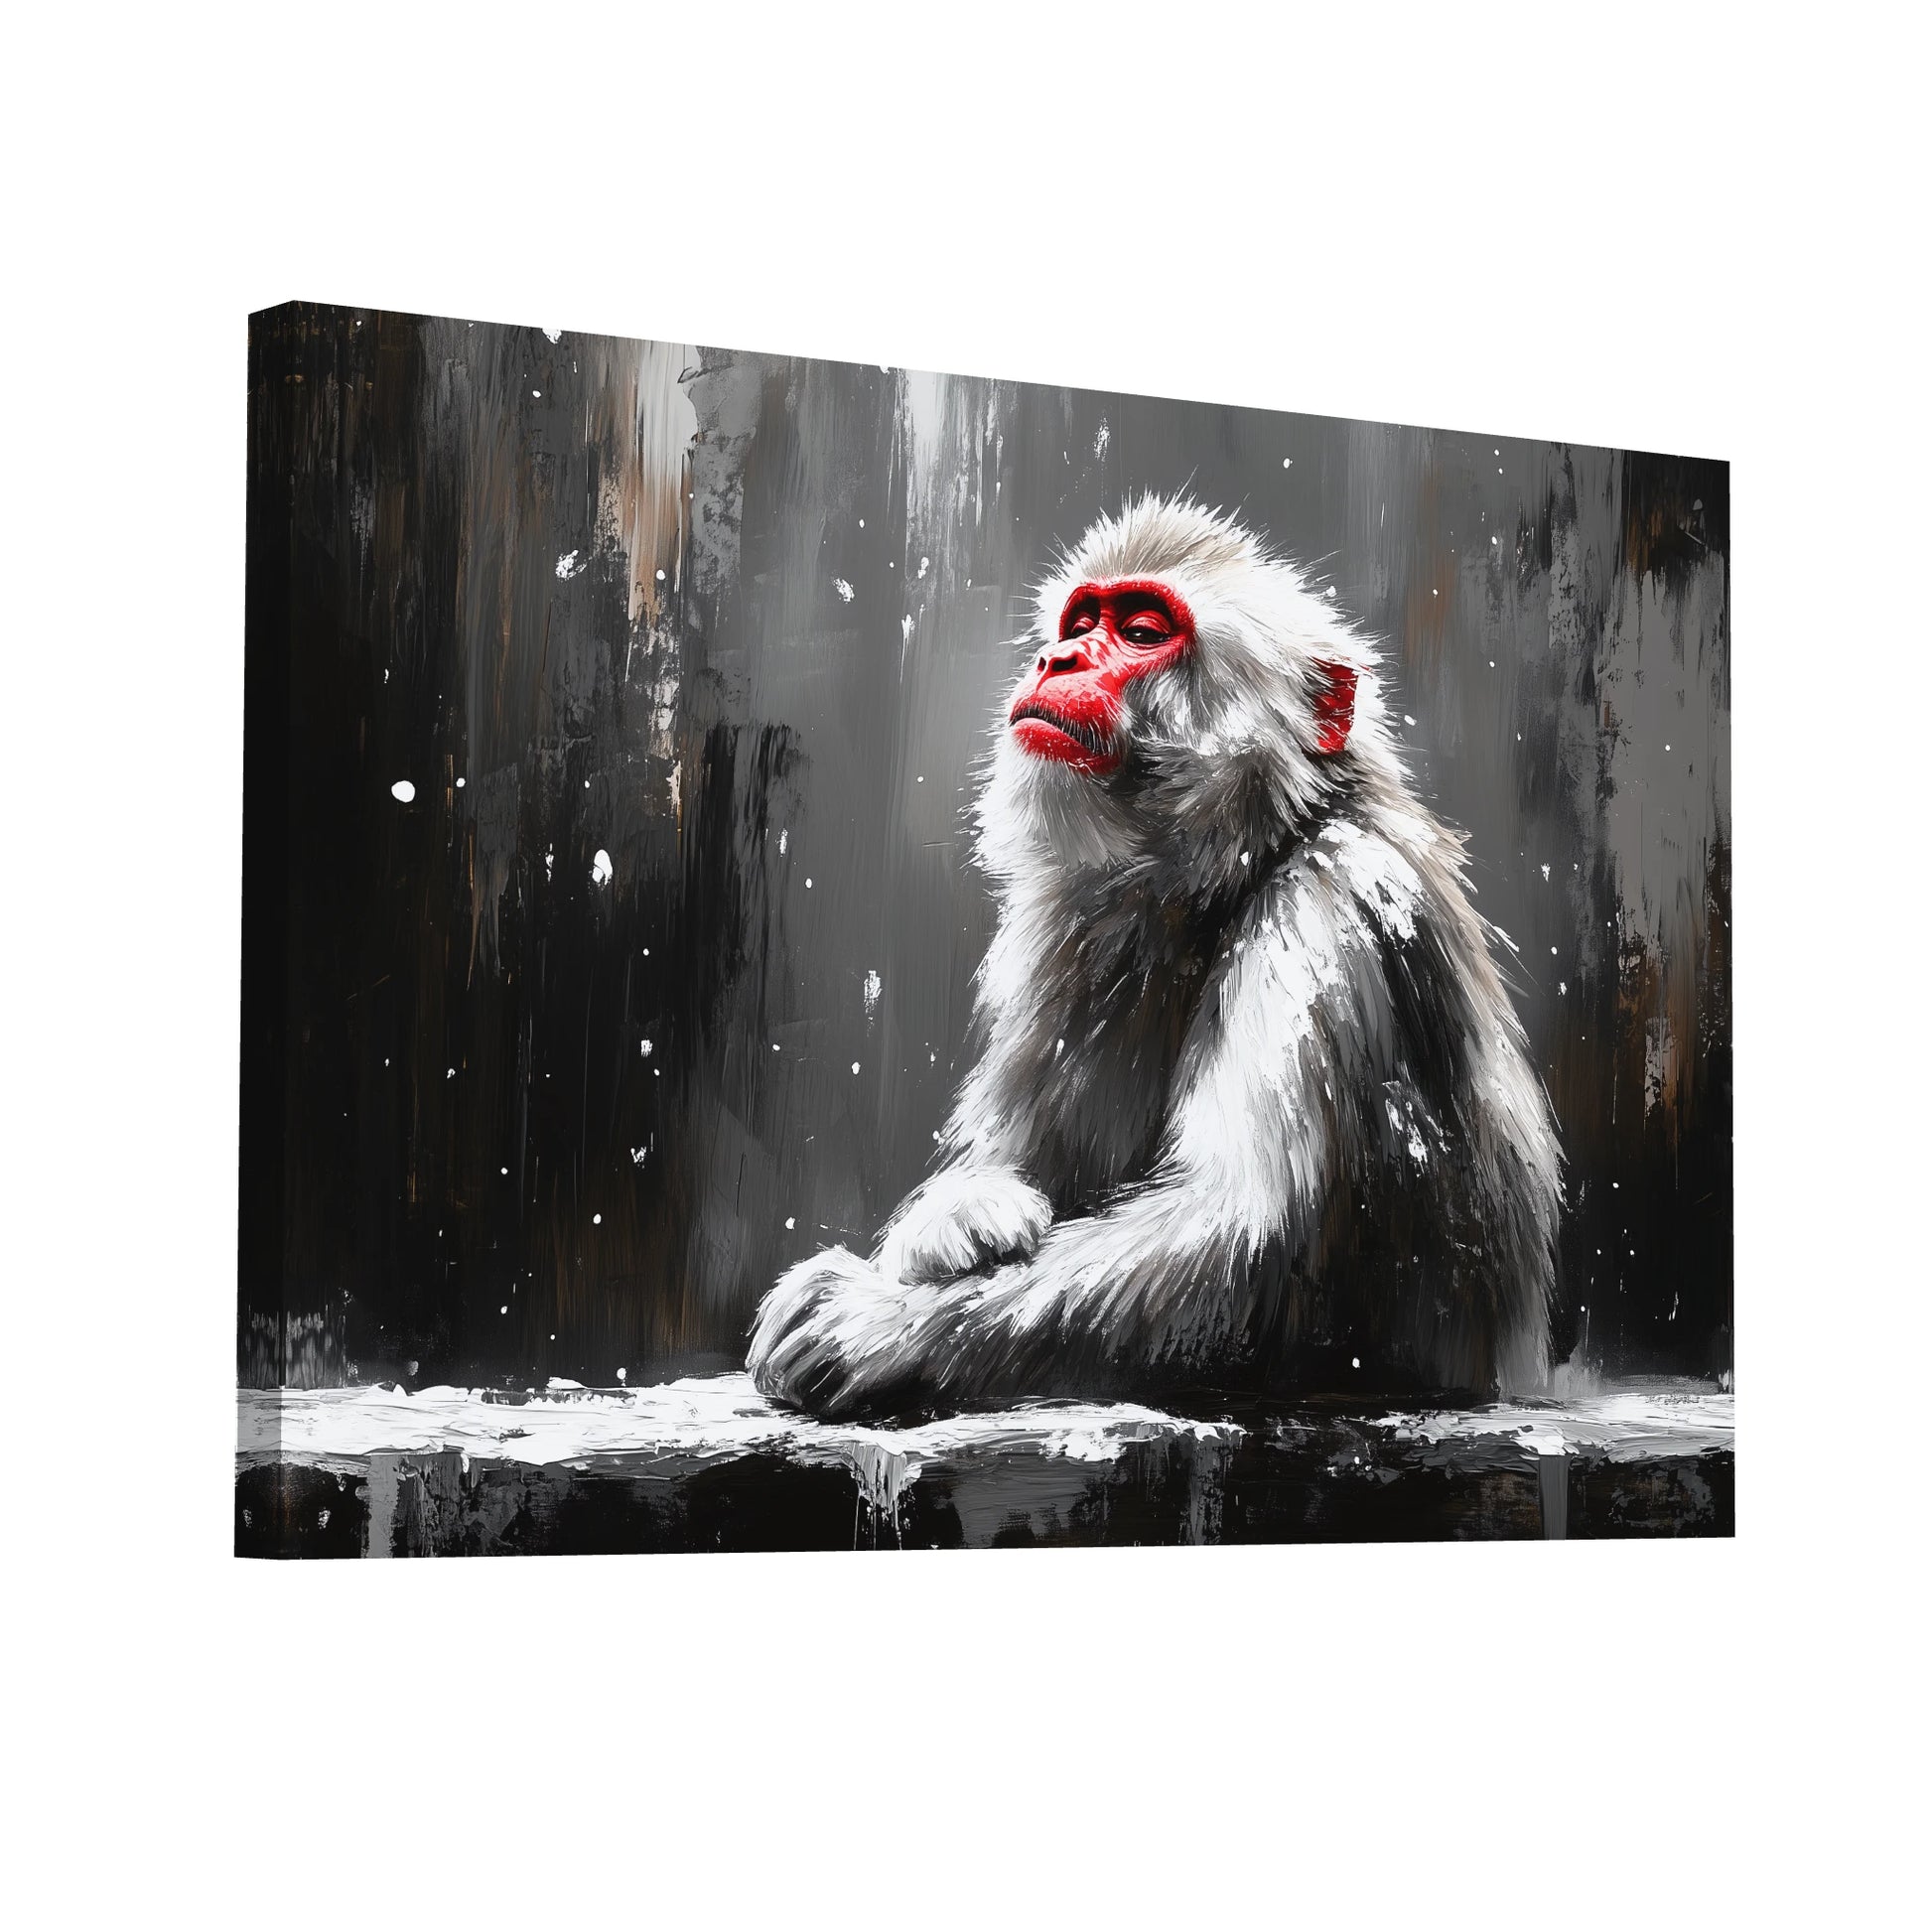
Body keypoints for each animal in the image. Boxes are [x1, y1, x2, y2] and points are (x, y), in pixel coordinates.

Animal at [748, 495, 1561, 1420]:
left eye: (1140, 632)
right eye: (1080, 624)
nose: (1055, 658)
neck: (1229, 865)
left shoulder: (1330, 907)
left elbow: (1237, 1244)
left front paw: (864, 1323)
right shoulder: (1065, 936)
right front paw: (951, 1219)